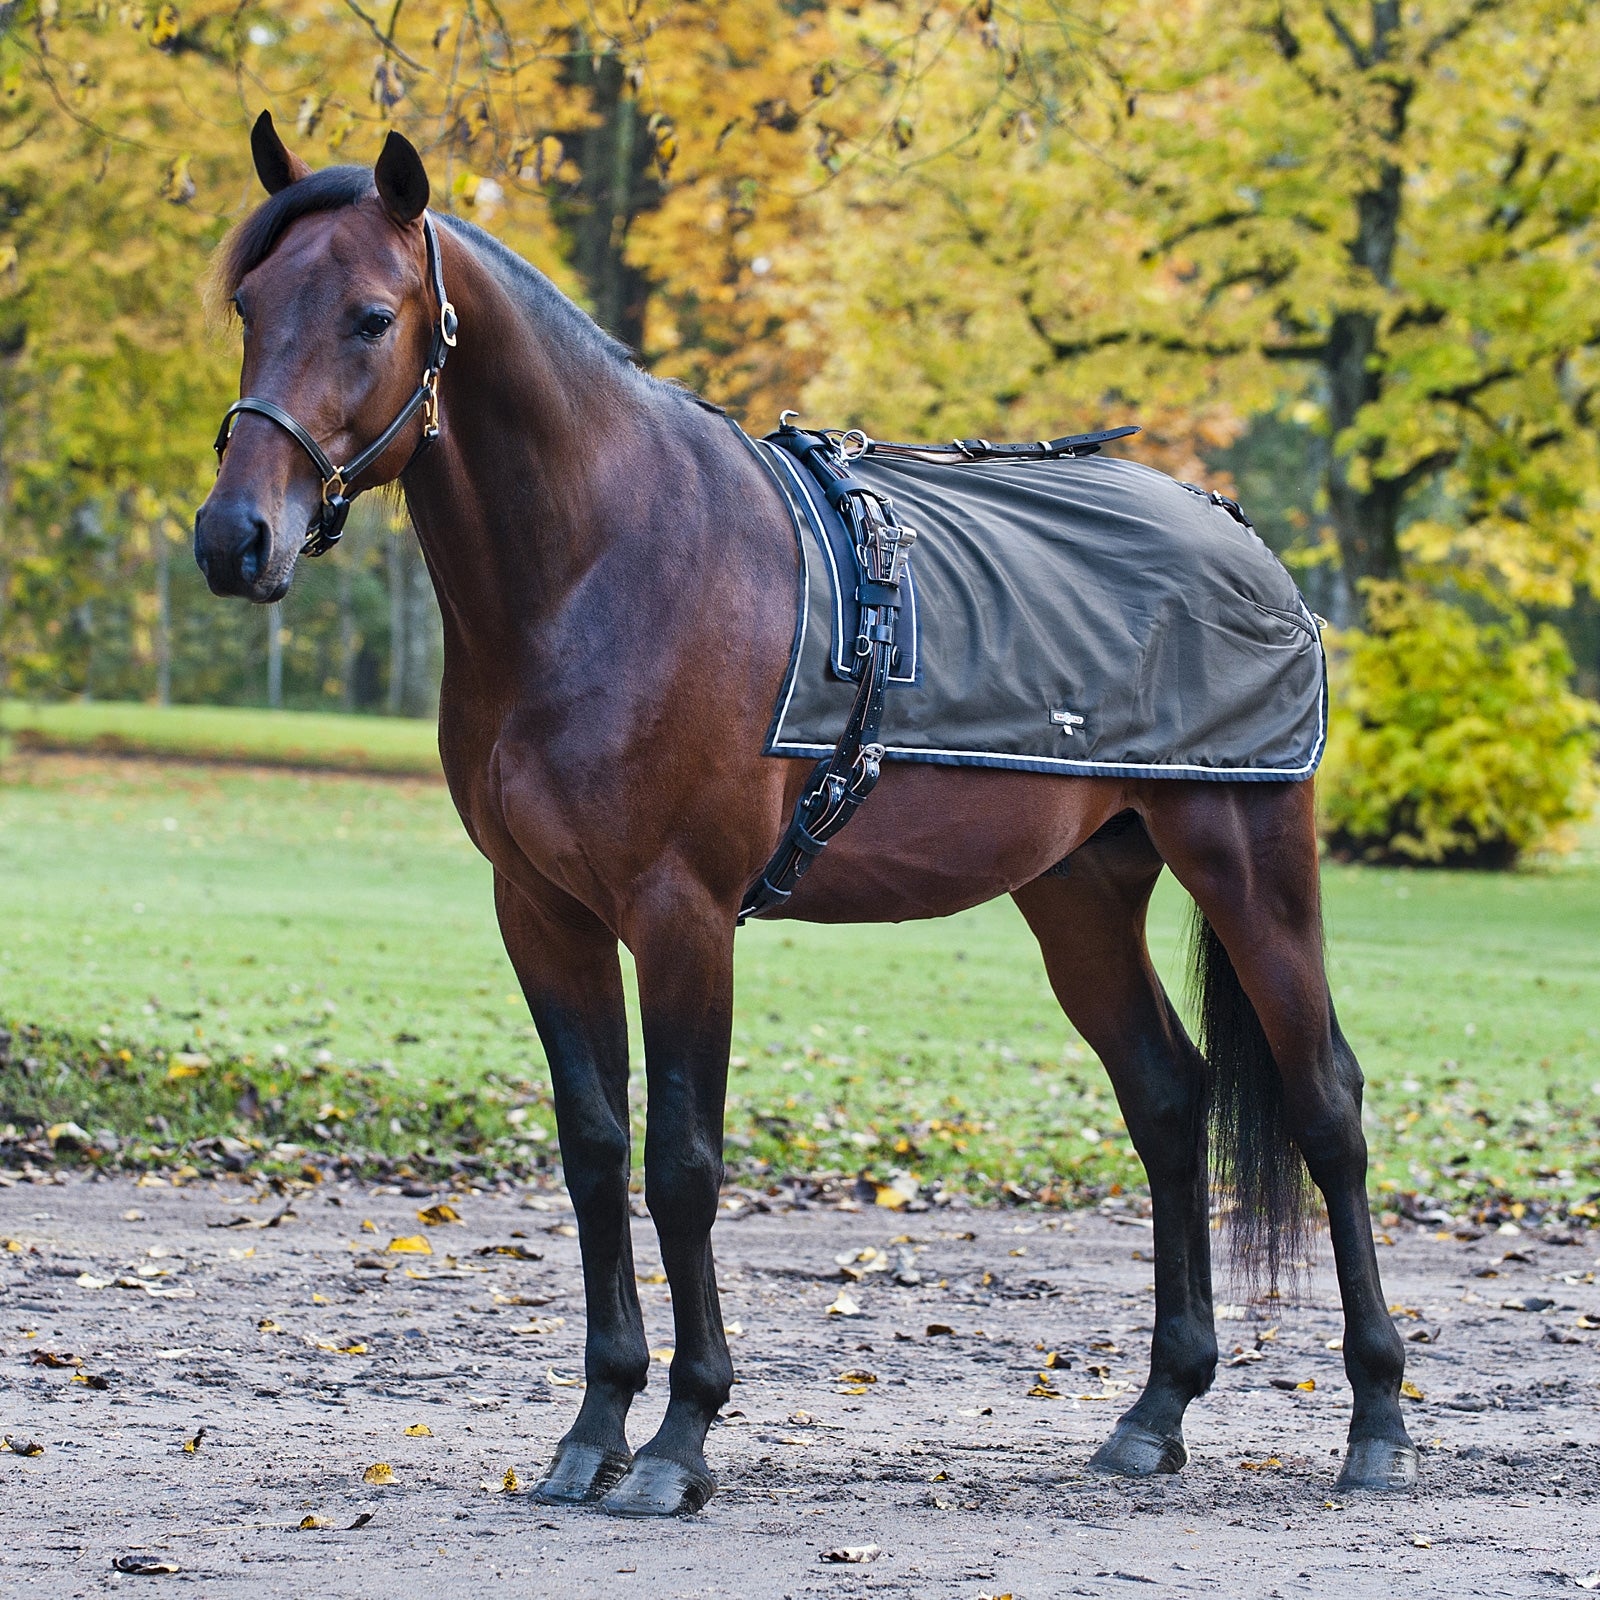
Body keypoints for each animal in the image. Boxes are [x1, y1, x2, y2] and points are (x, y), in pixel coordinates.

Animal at [192, 117, 1417, 1517]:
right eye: (248, 304)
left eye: (371, 315)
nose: (234, 538)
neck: (607, 560)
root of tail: (1240, 537)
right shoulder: (543, 912)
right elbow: (595, 1152)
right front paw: (594, 1428)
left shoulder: (681, 913)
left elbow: (682, 1162)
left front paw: (680, 1439)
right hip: (1077, 893)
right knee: (1167, 1100)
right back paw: (1155, 1410)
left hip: (1248, 859)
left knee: (1325, 1104)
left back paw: (1377, 1420)